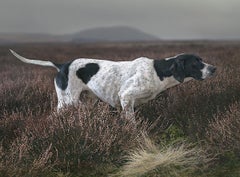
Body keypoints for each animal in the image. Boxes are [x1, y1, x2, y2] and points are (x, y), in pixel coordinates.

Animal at [9, 49, 216, 119]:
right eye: (196, 63)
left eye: (202, 59)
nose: (214, 68)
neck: (158, 72)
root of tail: (62, 65)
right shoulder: (126, 97)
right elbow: (132, 123)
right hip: (67, 102)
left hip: (86, 100)